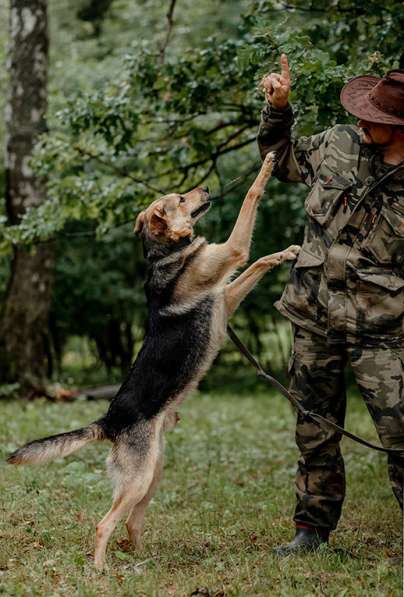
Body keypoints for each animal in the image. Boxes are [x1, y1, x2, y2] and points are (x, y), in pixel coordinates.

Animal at [7, 152, 300, 568]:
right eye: (180, 198)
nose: (206, 187)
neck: (168, 254)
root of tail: (108, 421)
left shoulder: (225, 299)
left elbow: (258, 261)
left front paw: (287, 253)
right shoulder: (230, 257)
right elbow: (251, 199)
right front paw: (268, 163)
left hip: (154, 471)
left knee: (131, 523)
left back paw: (142, 562)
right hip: (139, 479)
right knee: (104, 524)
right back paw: (101, 569)